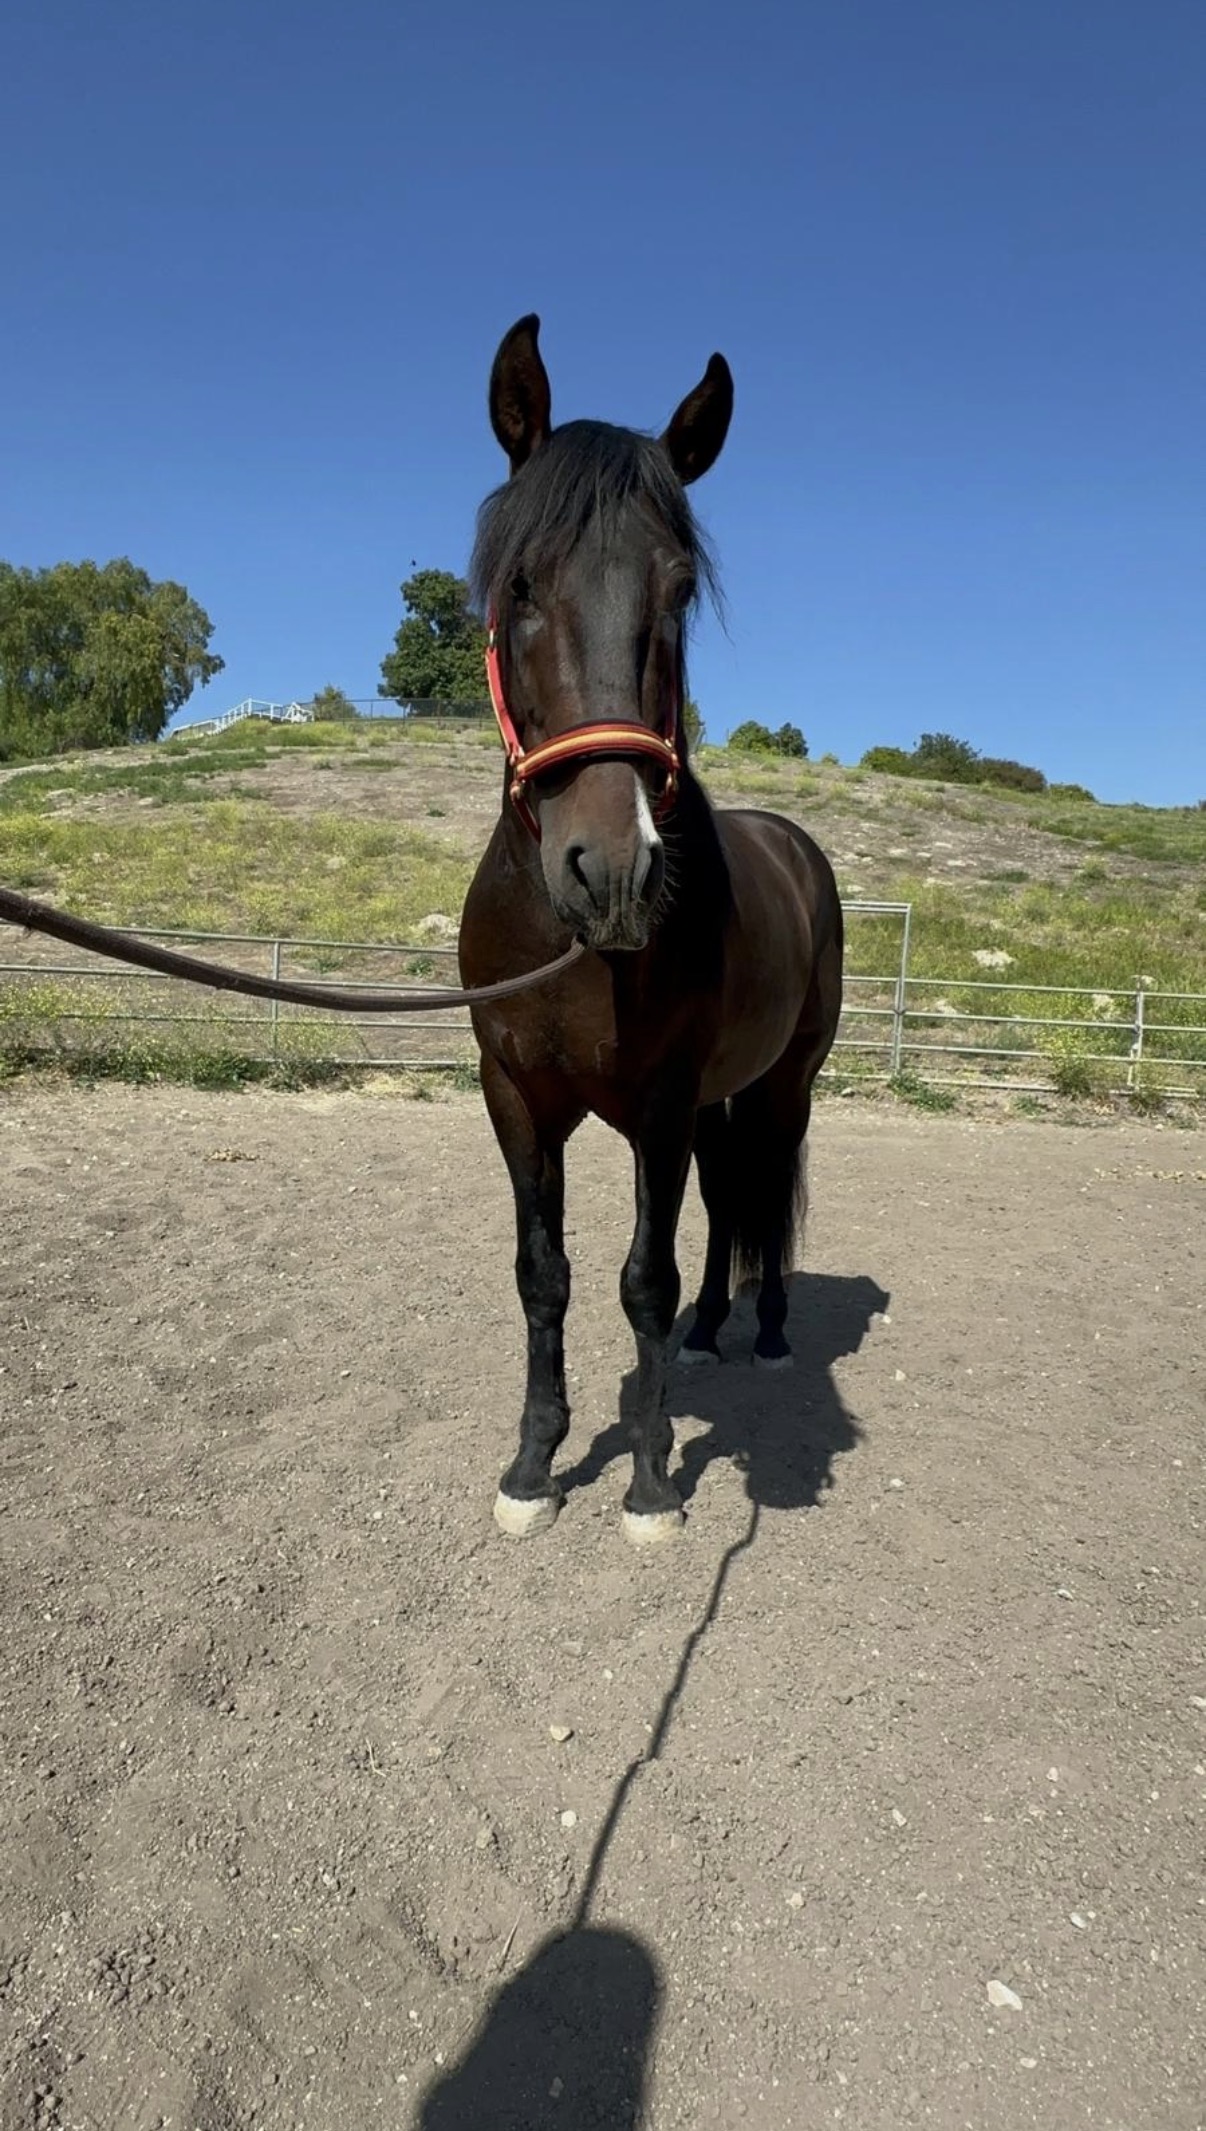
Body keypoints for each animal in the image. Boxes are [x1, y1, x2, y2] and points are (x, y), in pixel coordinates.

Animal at [458, 315, 844, 1546]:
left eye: (677, 591)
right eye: (521, 582)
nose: (612, 870)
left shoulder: (660, 1106)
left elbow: (641, 1277)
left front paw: (651, 1480)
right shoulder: (517, 1096)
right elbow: (544, 1273)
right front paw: (534, 1463)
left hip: (780, 1082)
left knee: (761, 1186)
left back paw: (764, 1334)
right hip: (721, 1097)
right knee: (728, 1204)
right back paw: (713, 1331)